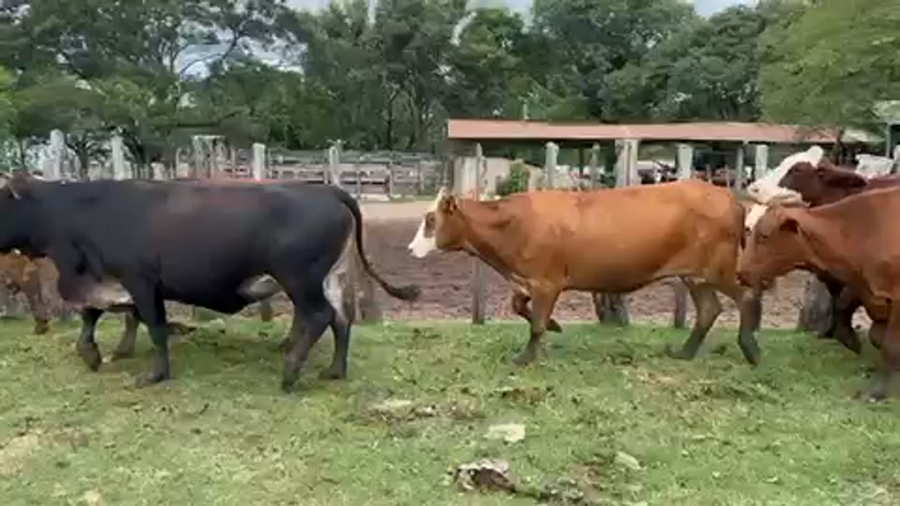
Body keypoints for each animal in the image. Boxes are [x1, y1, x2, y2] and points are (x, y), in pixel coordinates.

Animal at [0, 172, 419, 392]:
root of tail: (328, 189)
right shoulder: (104, 279)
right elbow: (93, 314)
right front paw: (92, 353)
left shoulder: (141, 280)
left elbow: (153, 325)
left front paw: (155, 373)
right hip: (328, 277)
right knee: (341, 320)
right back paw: (333, 370)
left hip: (299, 277)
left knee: (319, 316)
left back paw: (290, 371)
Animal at [407, 180, 761, 366]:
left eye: (430, 219)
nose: (410, 249)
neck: (514, 225)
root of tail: (727, 197)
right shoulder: (527, 282)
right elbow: (520, 307)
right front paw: (555, 325)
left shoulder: (546, 283)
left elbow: (535, 323)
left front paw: (525, 357)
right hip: (696, 275)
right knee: (709, 309)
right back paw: (684, 353)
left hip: (719, 269)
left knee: (746, 296)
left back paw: (750, 349)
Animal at [737, 186, 900, 402]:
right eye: (747, 229)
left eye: (764, 235)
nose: (740, 273)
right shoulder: (862, 288)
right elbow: (849, 313)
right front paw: (853, 342)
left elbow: (890, 346)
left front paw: (875, 391)